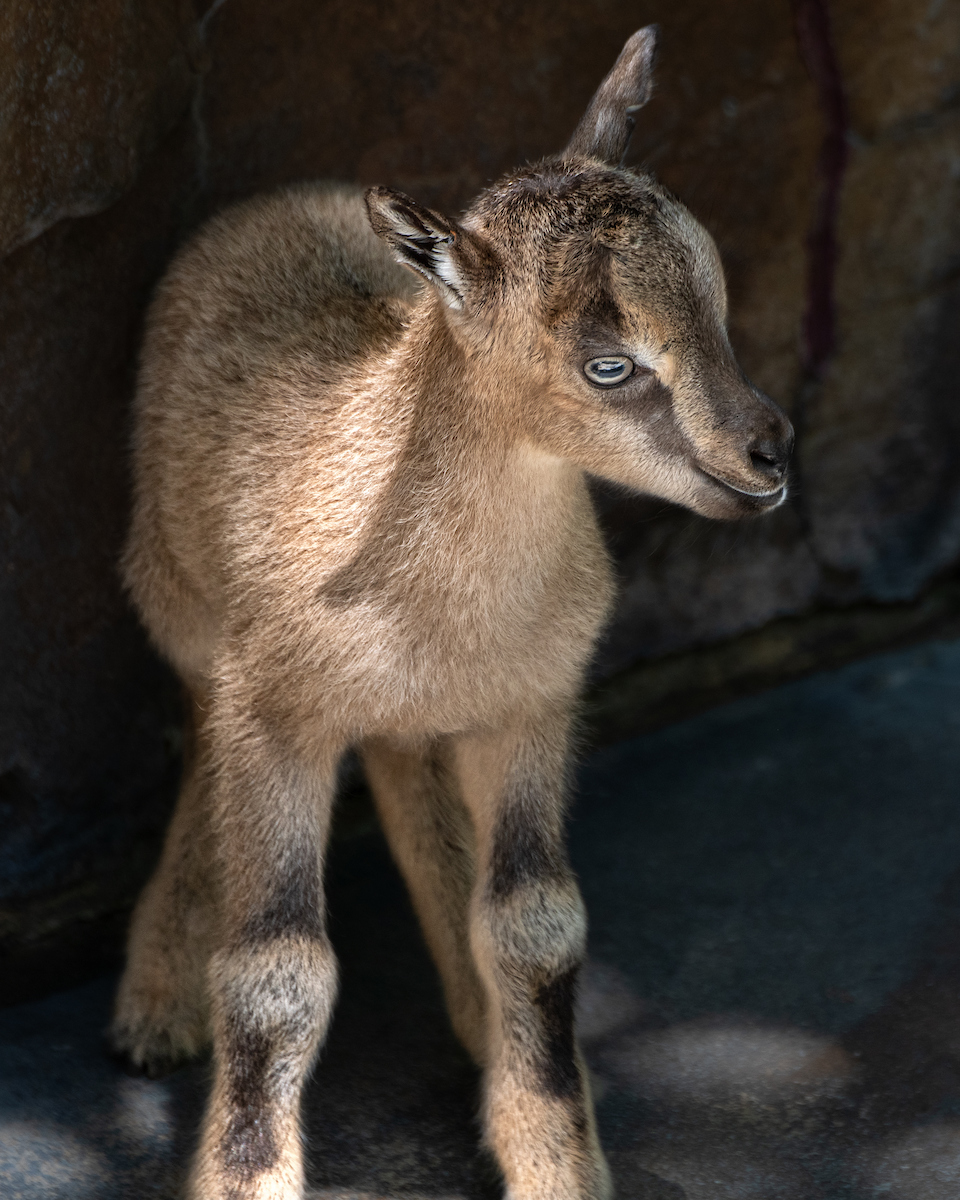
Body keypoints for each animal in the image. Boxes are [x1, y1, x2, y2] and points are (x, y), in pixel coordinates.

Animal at [110, 28, 796, 1200]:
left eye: (715, 303)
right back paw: (154, 1006)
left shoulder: (532, 706)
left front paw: (556, 1151)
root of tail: (279, 200)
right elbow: (276, 972)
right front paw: (244, 1171)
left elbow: (534, 926)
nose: (766, 457)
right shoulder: (273, 715)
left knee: (407, 775)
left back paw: (480, 1024)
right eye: (609, 364)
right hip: (181, 606)